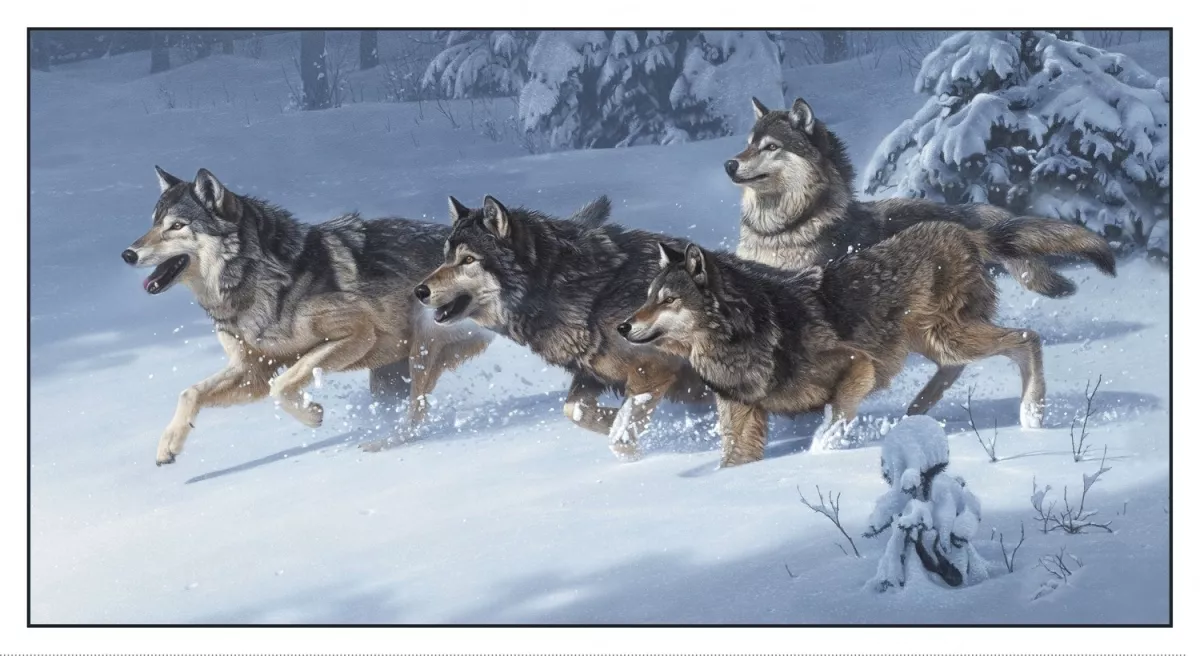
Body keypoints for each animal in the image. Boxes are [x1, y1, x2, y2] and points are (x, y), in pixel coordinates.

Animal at [122, 167, 495, 466]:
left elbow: (285, 383)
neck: (257, 280)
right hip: (390, 374)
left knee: (416, 415)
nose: (127, 254)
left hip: (421, 348)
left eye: (176, 226)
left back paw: (381, 445)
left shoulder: (357, 335)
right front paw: (168, 446)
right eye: (153, 224)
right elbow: (190, 393)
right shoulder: (252, 371)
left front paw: (312, 414)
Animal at [414, 195, 711, 460]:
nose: (419, 291)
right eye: (446, 257)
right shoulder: (591, 373)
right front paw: (616, 420)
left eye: (468, 260)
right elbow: (575, 411)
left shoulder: (652, 371)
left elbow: (620, 438)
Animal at [620, 219, 1116, 467]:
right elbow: (733, 462)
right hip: (933, 342)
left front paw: (823, 452)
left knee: (1028, 338)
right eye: (647, 297)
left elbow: (836, 416)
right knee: (960, 367)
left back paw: (1031, 415)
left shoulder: (859, 365)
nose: (623, 326)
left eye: (667, 300)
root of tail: (958, 229)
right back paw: (916, 413)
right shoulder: (743, 414)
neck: (746, 333)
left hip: (946, 338)